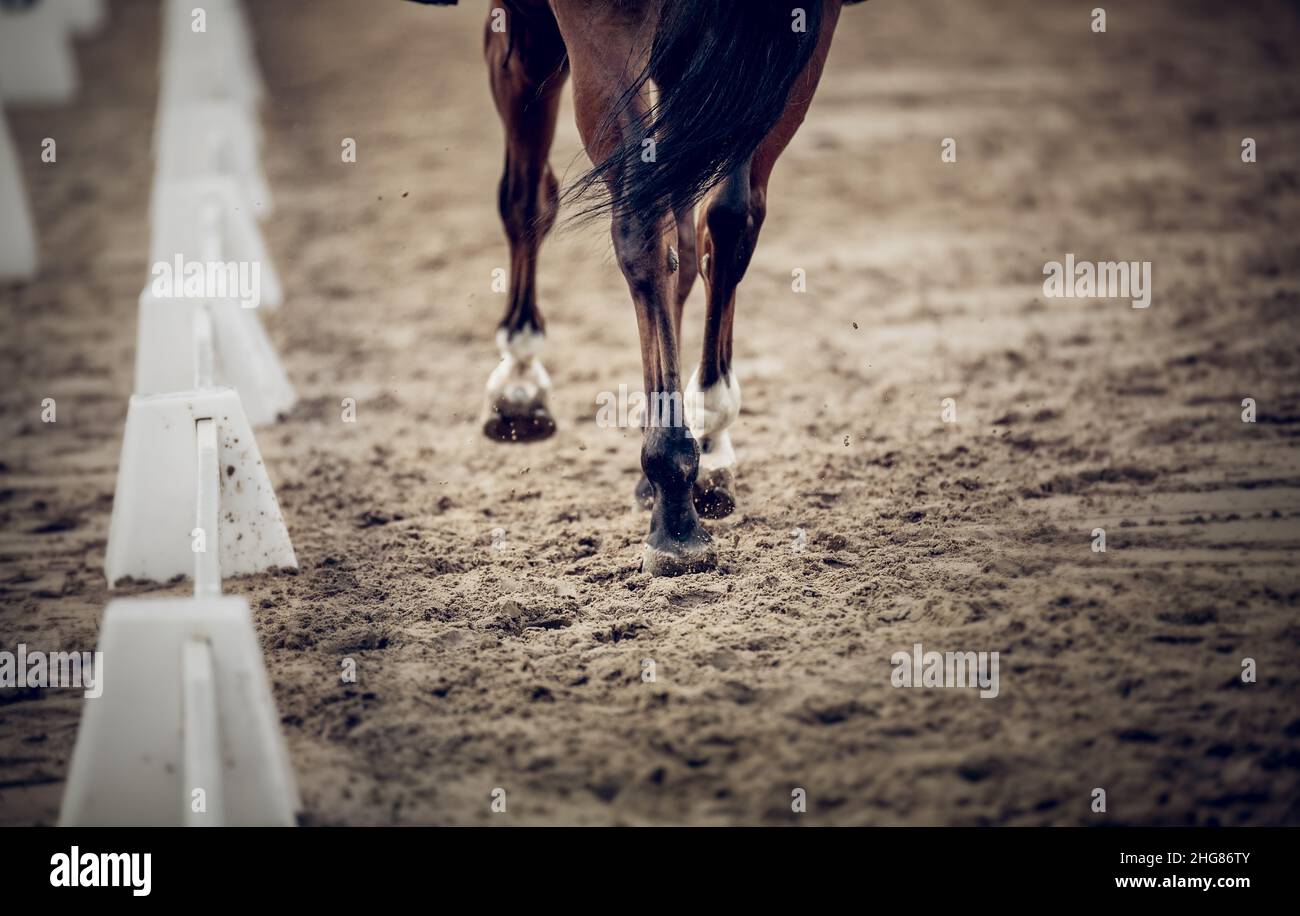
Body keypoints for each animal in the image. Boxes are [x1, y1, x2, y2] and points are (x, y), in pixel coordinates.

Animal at [411, 0, 854, 574]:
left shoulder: (522, 26)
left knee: (641, 218)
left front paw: (520, 379)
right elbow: (691, 245)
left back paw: (674, 507)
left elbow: (526, 198)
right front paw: (699, 443)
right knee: (727, 221)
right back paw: (703, 445)